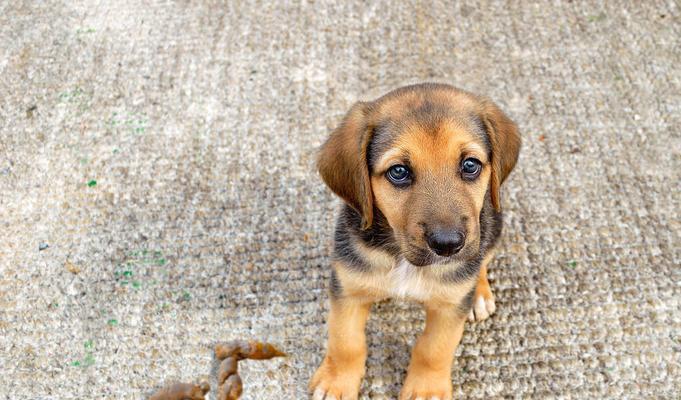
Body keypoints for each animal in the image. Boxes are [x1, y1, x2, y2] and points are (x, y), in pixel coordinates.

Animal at [310, 83, 520, 398]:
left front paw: (426, 389)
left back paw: (479, 294)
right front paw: (336, 382)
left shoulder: (448, 308)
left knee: (482, 259)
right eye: (399, 171)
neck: (402, 259)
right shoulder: (347, 289)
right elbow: (345, 341)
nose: (448, 245)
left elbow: (433, 350)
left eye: (470, 165)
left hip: (492, 226)